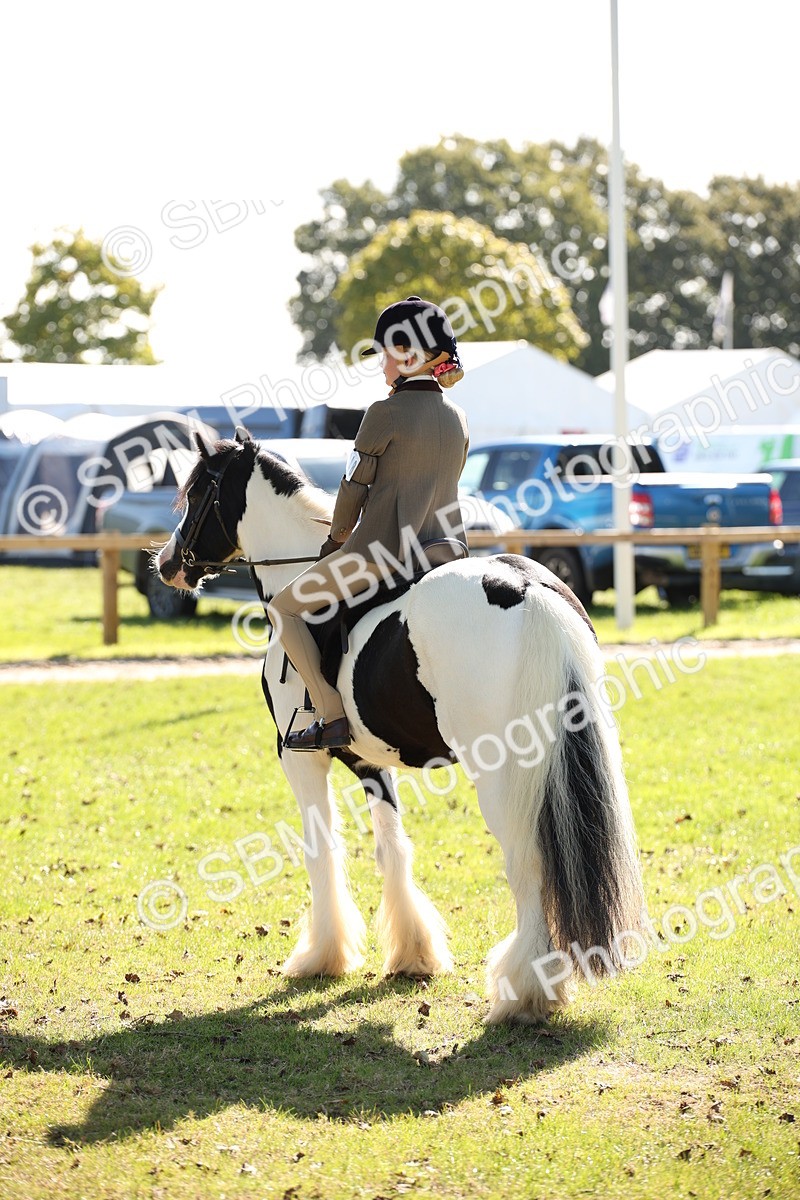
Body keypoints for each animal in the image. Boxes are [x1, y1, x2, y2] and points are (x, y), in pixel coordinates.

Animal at [155, 427, 643, 1024]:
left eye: (199, 491)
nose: (166, 562)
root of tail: (522, 587)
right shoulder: (369, 761)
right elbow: (393, 847)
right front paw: (414, 954)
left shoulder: (299, 757)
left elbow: (322, 851)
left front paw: (323, 955)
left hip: (505, 776)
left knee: (528, 864)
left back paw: (523, 992)